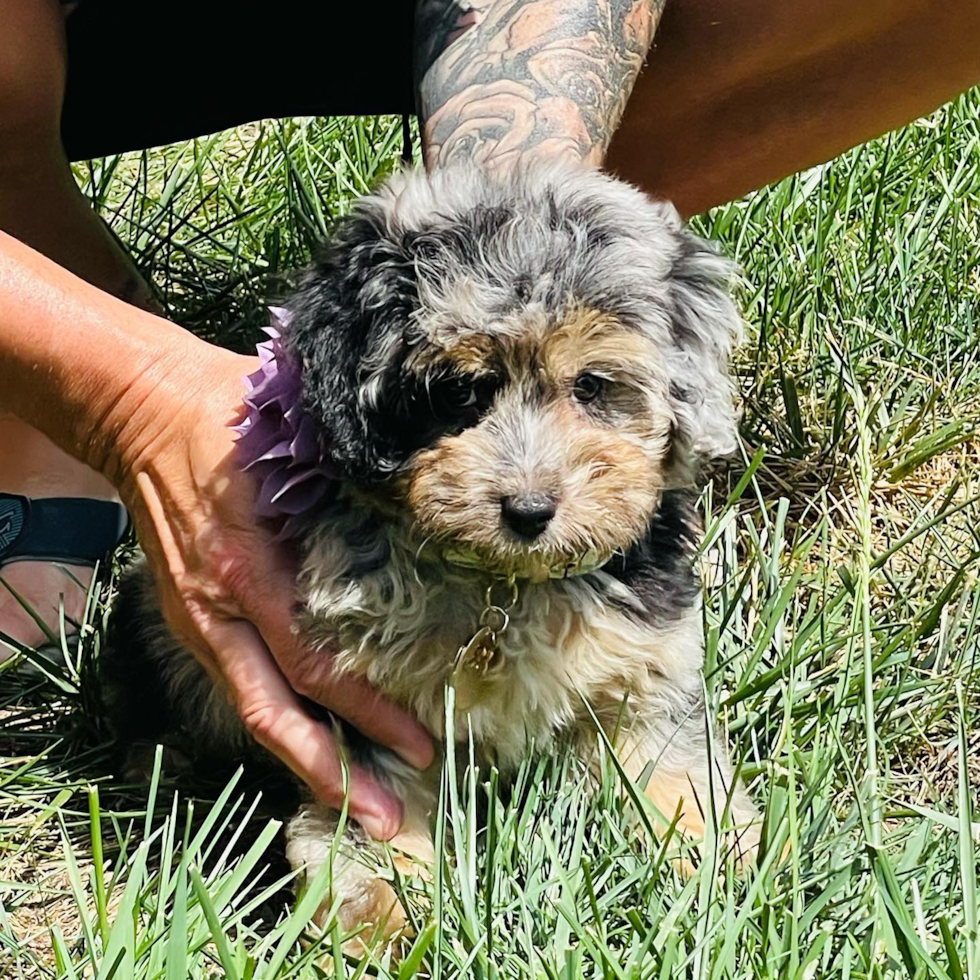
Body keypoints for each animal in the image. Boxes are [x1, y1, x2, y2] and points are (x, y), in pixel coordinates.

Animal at [105, 165, 756, 944]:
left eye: (592, 386)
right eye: (459, 391)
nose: (529, 511)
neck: (504, 581)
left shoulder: (646, 659)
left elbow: (664, 752)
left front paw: (702, 847)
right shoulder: (358, 689)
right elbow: (373, 798)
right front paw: (389, 907)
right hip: (155, 613)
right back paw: (159, 762)